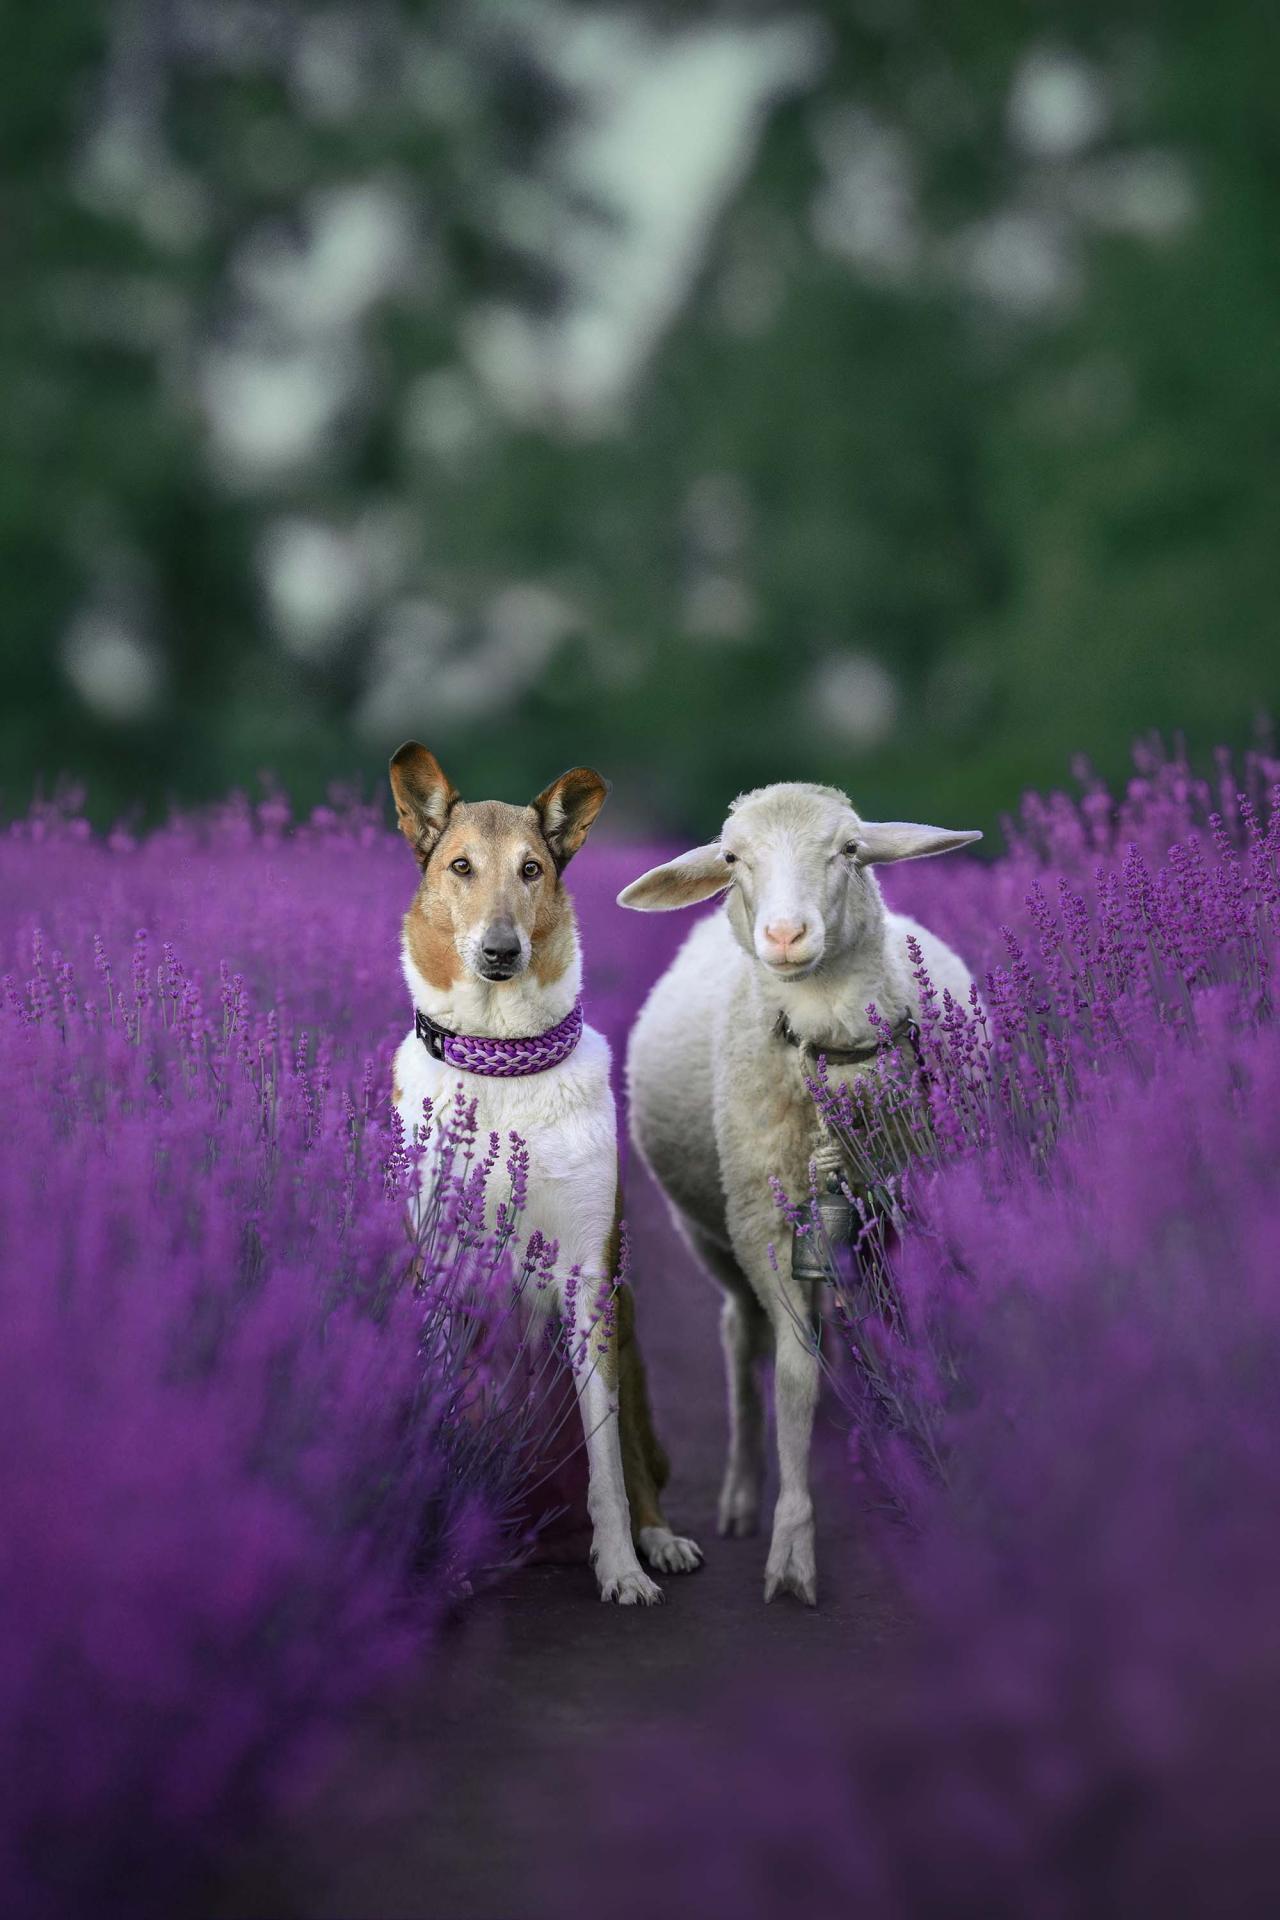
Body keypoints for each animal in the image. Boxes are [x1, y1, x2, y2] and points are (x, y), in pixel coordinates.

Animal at [387, 744, 702, 1605]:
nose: (501, 952)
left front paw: (623, 1569)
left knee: (637, 1465)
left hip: (629, 1337)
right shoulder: (439, 1277)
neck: (500, 1059)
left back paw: (658, 1541)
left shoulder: (587, 1283)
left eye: (532, 870)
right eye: (460, 866)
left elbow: (607, 1471)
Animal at [621, 779, 982, 1605]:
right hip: (713, 1235)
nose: (785, 935)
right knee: (740, 1336)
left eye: (849, 849)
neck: (828, 1039)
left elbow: (907, 1334)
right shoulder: (765, 1226)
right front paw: (790, 1548)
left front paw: (922, 1460)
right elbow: (791, 1375)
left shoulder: (912, 1205)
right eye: (731, 859)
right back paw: (742, 1494)